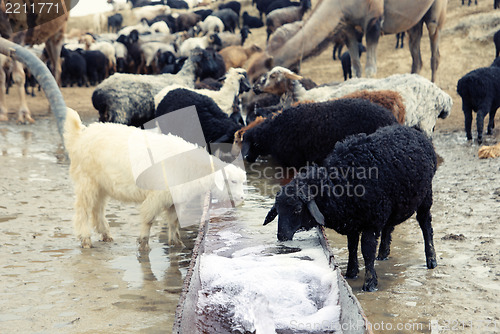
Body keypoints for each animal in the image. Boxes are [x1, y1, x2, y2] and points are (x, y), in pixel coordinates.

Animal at [63, 107, 247, 250]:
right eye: (232, 181)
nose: (242, 197)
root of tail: (80, 136)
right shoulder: (157, 196)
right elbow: (148, 219)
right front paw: (143, 243)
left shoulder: (175, 199)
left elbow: (173, 221)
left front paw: (176, 242)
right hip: (86, 182)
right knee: (83, 211)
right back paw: (85, 239)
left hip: (101, 185)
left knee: (98, 210)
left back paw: (106, 234)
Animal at [262, 0, 446, 82]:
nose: (257, 89)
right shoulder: (349, 29)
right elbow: (356, 68)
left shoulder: (374, 24)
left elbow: (370, 70)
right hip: (413, 22)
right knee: (417, 57)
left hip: (436, 14)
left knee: (434, 52)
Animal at [266, 124, 438, 290]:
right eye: (278, 210)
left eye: (297, 209)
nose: (281, 236)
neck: (341, 184)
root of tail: (414, 130)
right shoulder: (353, 221)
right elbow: (352, 246)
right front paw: (351, 272)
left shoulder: (371, 221)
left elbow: (367, 250)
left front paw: (369, 283)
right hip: (392, 206)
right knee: (389, 227)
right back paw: (383, 254)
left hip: (426, 196)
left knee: (426, 225)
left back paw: (431, 259)